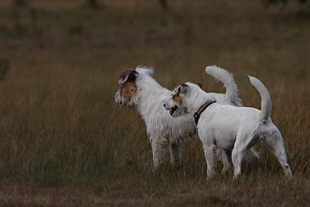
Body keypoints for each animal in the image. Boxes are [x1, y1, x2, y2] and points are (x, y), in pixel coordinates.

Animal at [115, 65, 253, 169]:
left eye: (121, 86)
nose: (115, 97)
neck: (149, 97)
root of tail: (228, 96)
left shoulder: (157, 137)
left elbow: (157, 158)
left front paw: (155, 171)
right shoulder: (173, 142)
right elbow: (175, 157)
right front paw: (175, 169)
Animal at [165, 75, 294, 179]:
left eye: (172, 95)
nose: (164, 104)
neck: (203, 106)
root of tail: (262, 117)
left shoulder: (208, 146)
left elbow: (211, 167)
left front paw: (209, 180)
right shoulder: (226, 148)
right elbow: (227, 165)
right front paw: (223, 174)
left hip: (238, 149)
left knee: (238, 171)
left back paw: (234, 181)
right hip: (276, 146)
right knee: (286, 166)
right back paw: (289, 179)